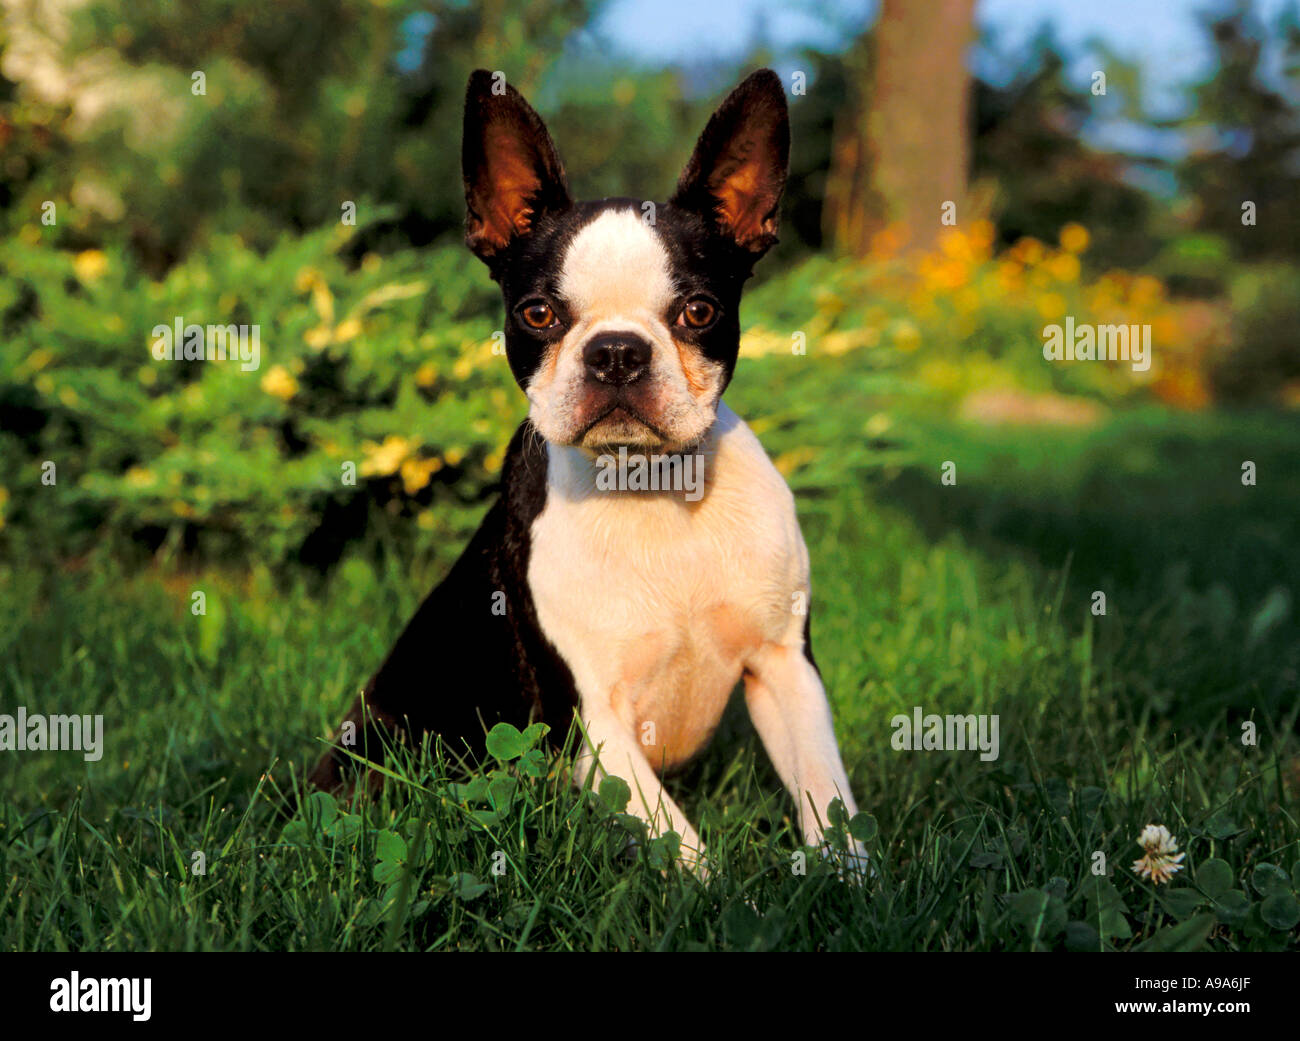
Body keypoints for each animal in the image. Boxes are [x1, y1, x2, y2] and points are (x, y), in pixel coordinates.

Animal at [309, 66, 868, 868]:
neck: (653, 490)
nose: (616, 351)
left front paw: (850, 883)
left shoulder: (785, 667)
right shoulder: (592, 720)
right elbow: (687, 851)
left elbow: (829, 800)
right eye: (538, 314)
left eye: (699, 312)